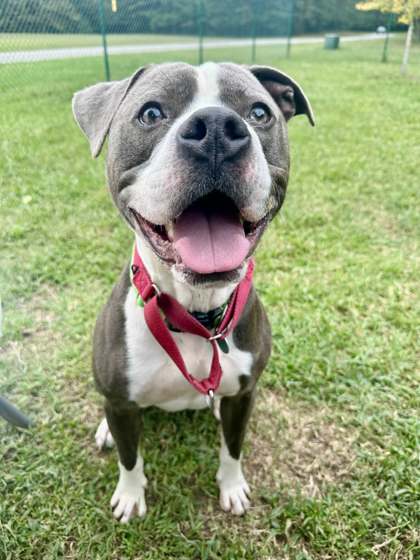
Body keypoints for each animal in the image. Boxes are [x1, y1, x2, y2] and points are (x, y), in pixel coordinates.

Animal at [73, 60, 316, 520]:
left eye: (259, 113)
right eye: (151, 113)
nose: (218, 128)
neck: (196, 316)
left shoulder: (244, 394)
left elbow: (233, 449)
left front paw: (232, 487)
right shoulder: (121, 403)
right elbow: (130, 458)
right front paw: (130, 496)